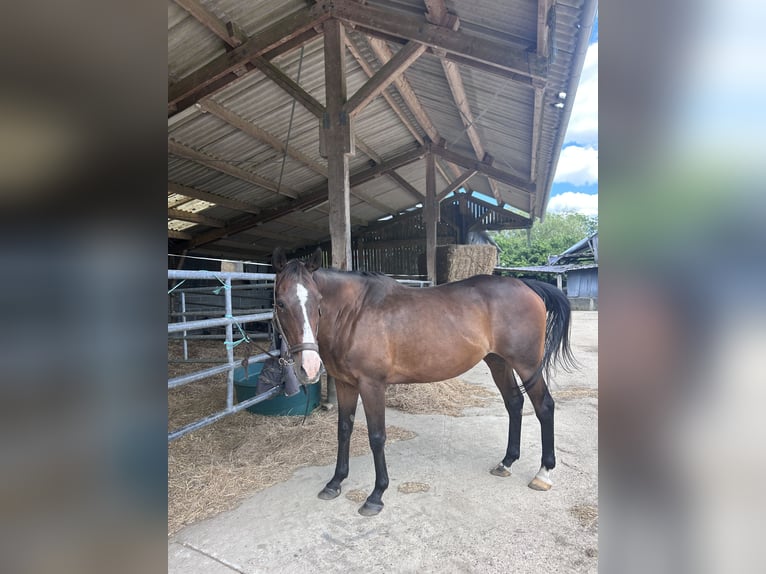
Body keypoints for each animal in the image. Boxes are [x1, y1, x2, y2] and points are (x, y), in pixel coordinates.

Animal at [271, 247, 577, 516]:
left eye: (318, 302)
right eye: (281, 303)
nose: (309, 367)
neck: (354, 313)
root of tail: (527, 286)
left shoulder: (372, 386)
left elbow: (377, 437)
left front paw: (376, 495)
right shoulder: (346, 384)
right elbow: (344, 431)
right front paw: (335, 482)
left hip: (526, 365)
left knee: (544, 407)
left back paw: (543, 472)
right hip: (498, 361)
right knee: (514, 403)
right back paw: (507, 462)